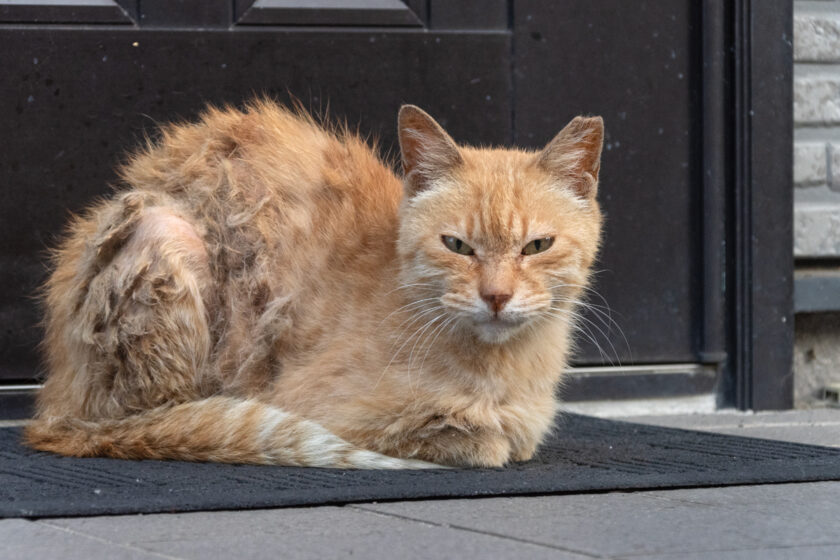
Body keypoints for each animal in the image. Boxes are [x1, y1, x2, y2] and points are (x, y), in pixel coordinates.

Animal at [23, 99, 604, 468]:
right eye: (457, 246)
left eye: (537, 246)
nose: (497, 296)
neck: (502, 372)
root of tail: (52, 402)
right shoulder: (325, 404)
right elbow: (472, 438)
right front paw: (479, 434)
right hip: (166, 233)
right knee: (148, 421)